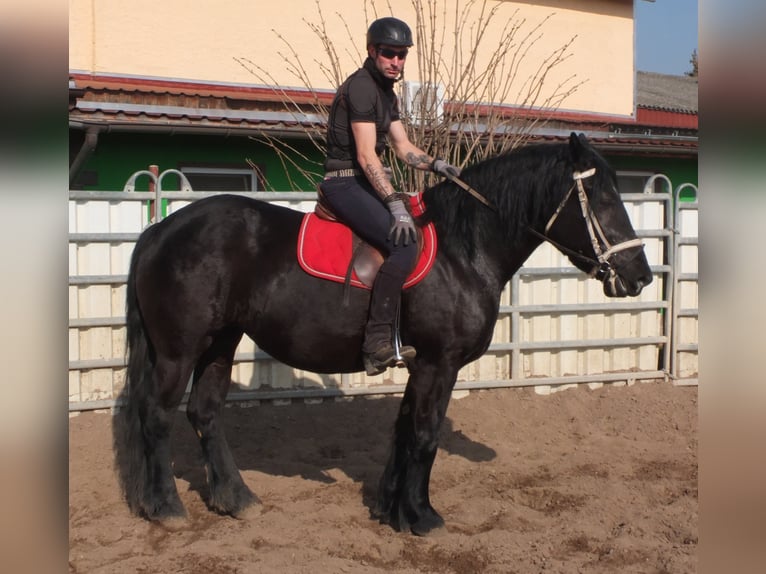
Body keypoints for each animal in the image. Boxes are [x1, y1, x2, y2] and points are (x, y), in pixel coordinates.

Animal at [115, 134, 656, 536]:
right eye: (602, 198)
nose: (641, 275)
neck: (463, 249)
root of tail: (160, 230)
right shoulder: (439, 363)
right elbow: (425, 434)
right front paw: (422, 515)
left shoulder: (419, 365)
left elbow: (403, 430)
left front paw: (390, 508)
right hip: (177, 351)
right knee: (157, 415)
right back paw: (166, 507)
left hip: (221, 343)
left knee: (205, 413)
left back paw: (236, 498)